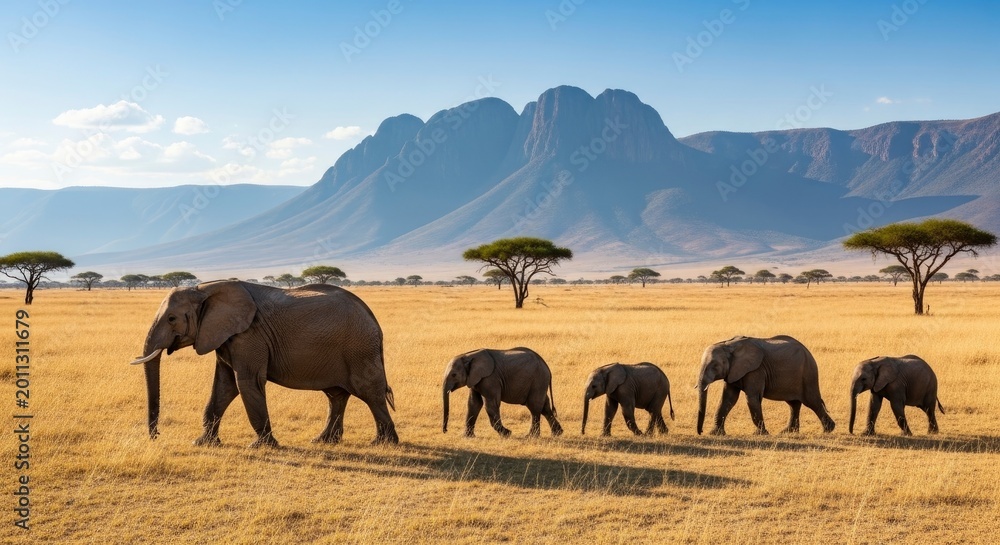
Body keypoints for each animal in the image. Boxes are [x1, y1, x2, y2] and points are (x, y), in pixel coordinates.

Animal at [127, 280, 398, 448]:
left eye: (172, 319)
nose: (156, 436)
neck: (205, 289)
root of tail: (374, 319)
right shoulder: (225, 336)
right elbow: (224, 386)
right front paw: (203, 443)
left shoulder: (249, 336)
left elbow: (246, 382)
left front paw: (260, 446)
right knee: (336, 396)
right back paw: (322, 441)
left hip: (359, 348)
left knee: (370, 392)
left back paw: (384, 443)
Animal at [696, 335, 836, 436]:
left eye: (714, 366)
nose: (701, 432)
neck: (728, 345)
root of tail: (808, 352)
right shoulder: (733, 371)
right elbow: (728, 399)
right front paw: (715, 433)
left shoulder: (755, 371)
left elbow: (752, 398)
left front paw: (760, 434)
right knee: (794, 404)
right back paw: (788, 432)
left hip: (808, 374)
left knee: (812, 401)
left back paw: (828, 430)